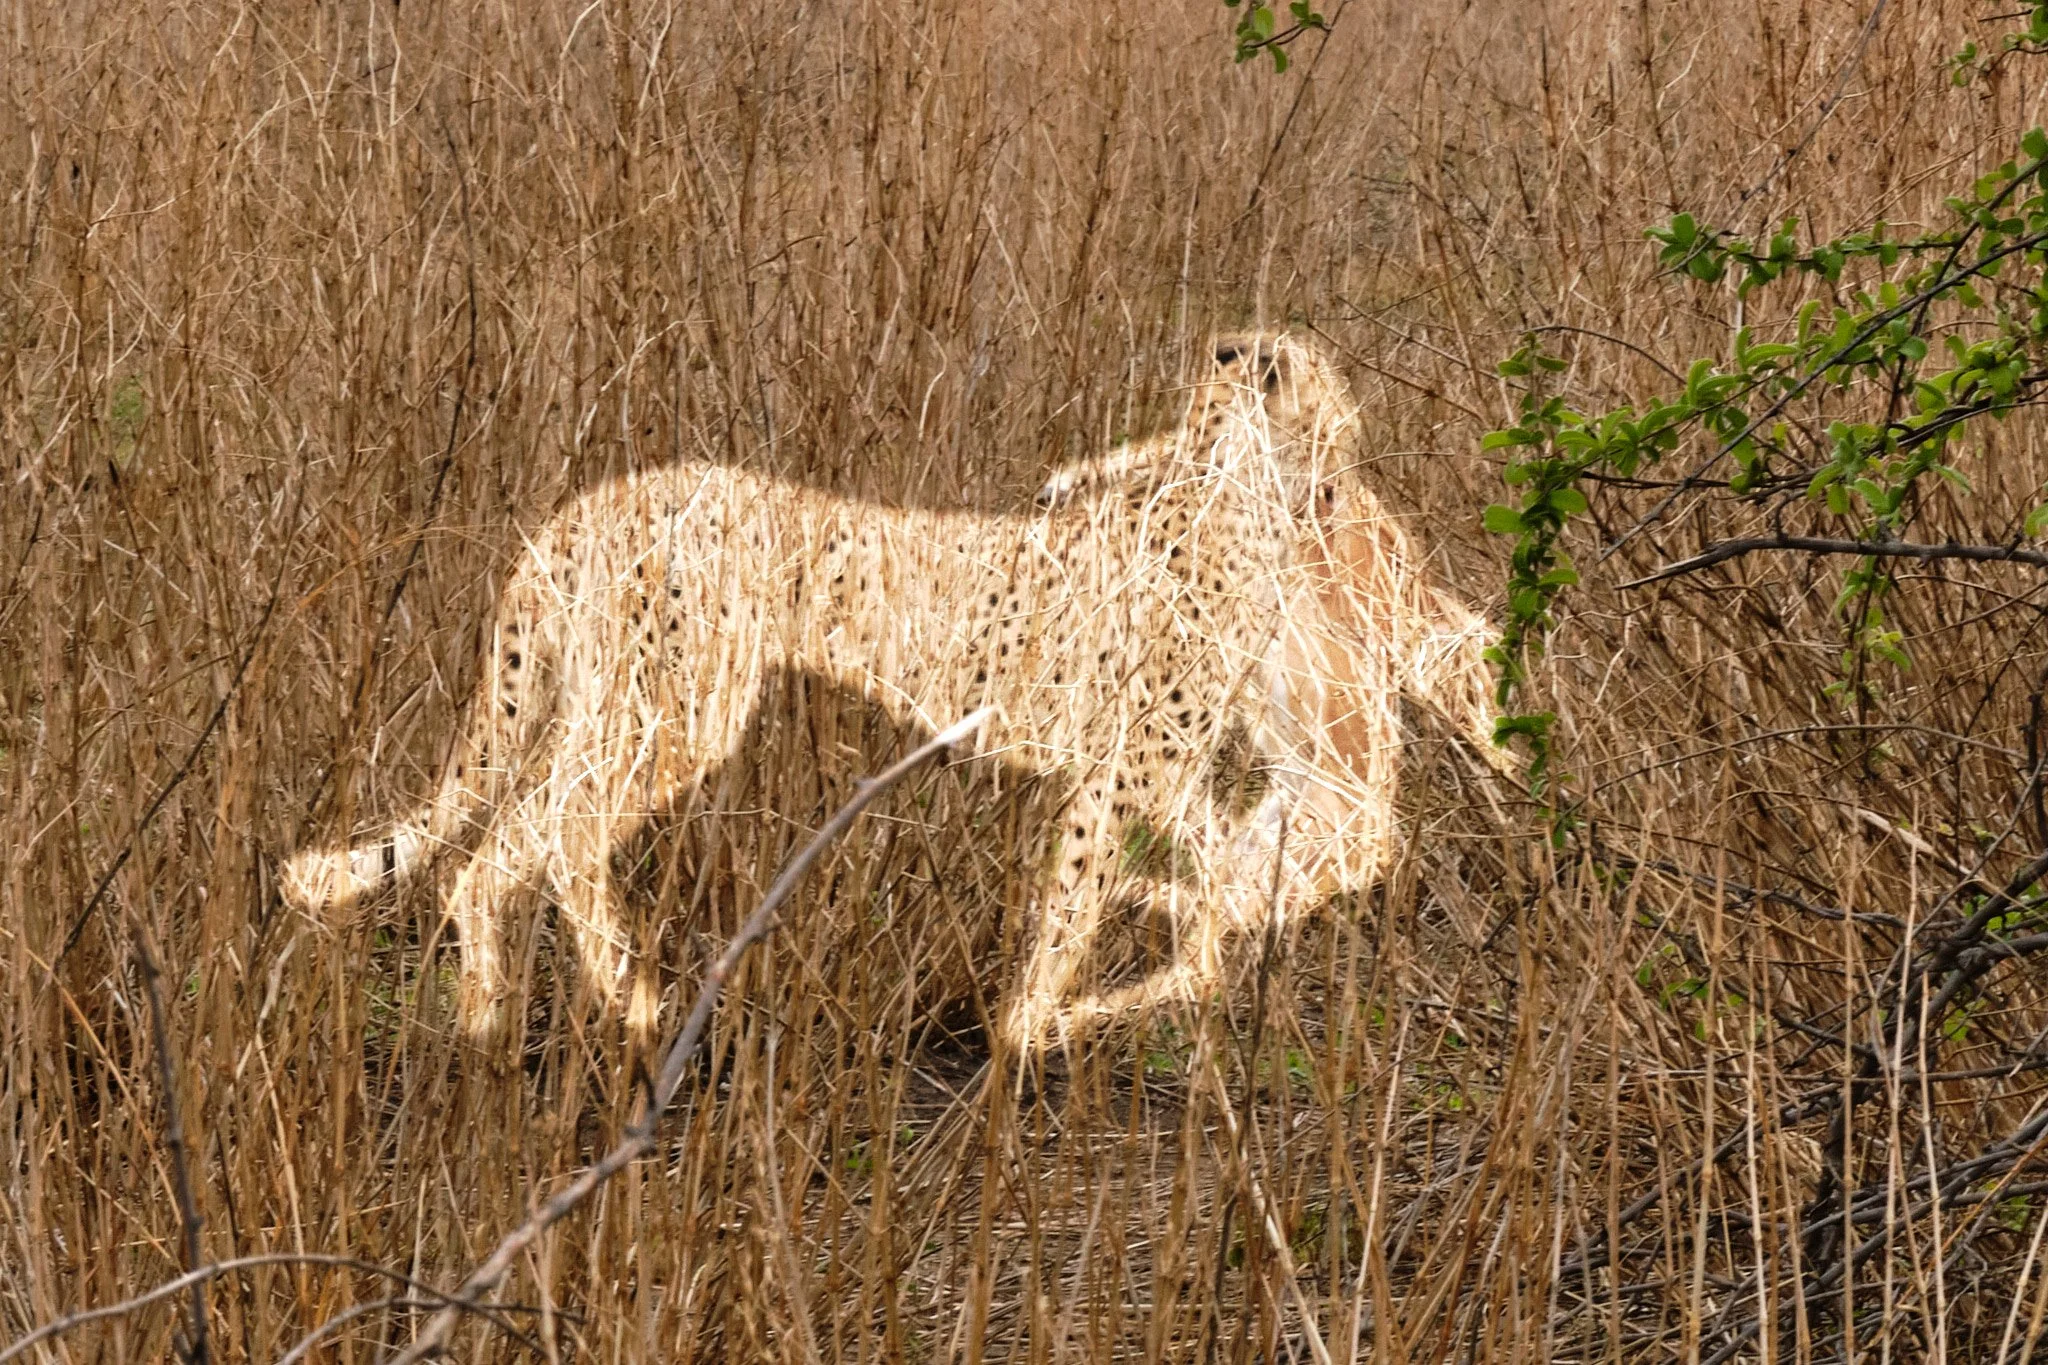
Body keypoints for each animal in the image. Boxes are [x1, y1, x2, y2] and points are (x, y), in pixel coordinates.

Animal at [281, 332, 1506, 1056]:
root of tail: (587, 503)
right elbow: (1086, 903)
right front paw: (1029, 1025)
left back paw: (489, 1020)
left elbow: (1216, 877)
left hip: (609, 712)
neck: (1230, 492)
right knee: (548, 837)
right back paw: (625, 1002)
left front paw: (1143, 968)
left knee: (500, 852)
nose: (1355, 495)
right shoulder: (1126, 773)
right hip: (673, 715)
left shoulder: (1152, 775)